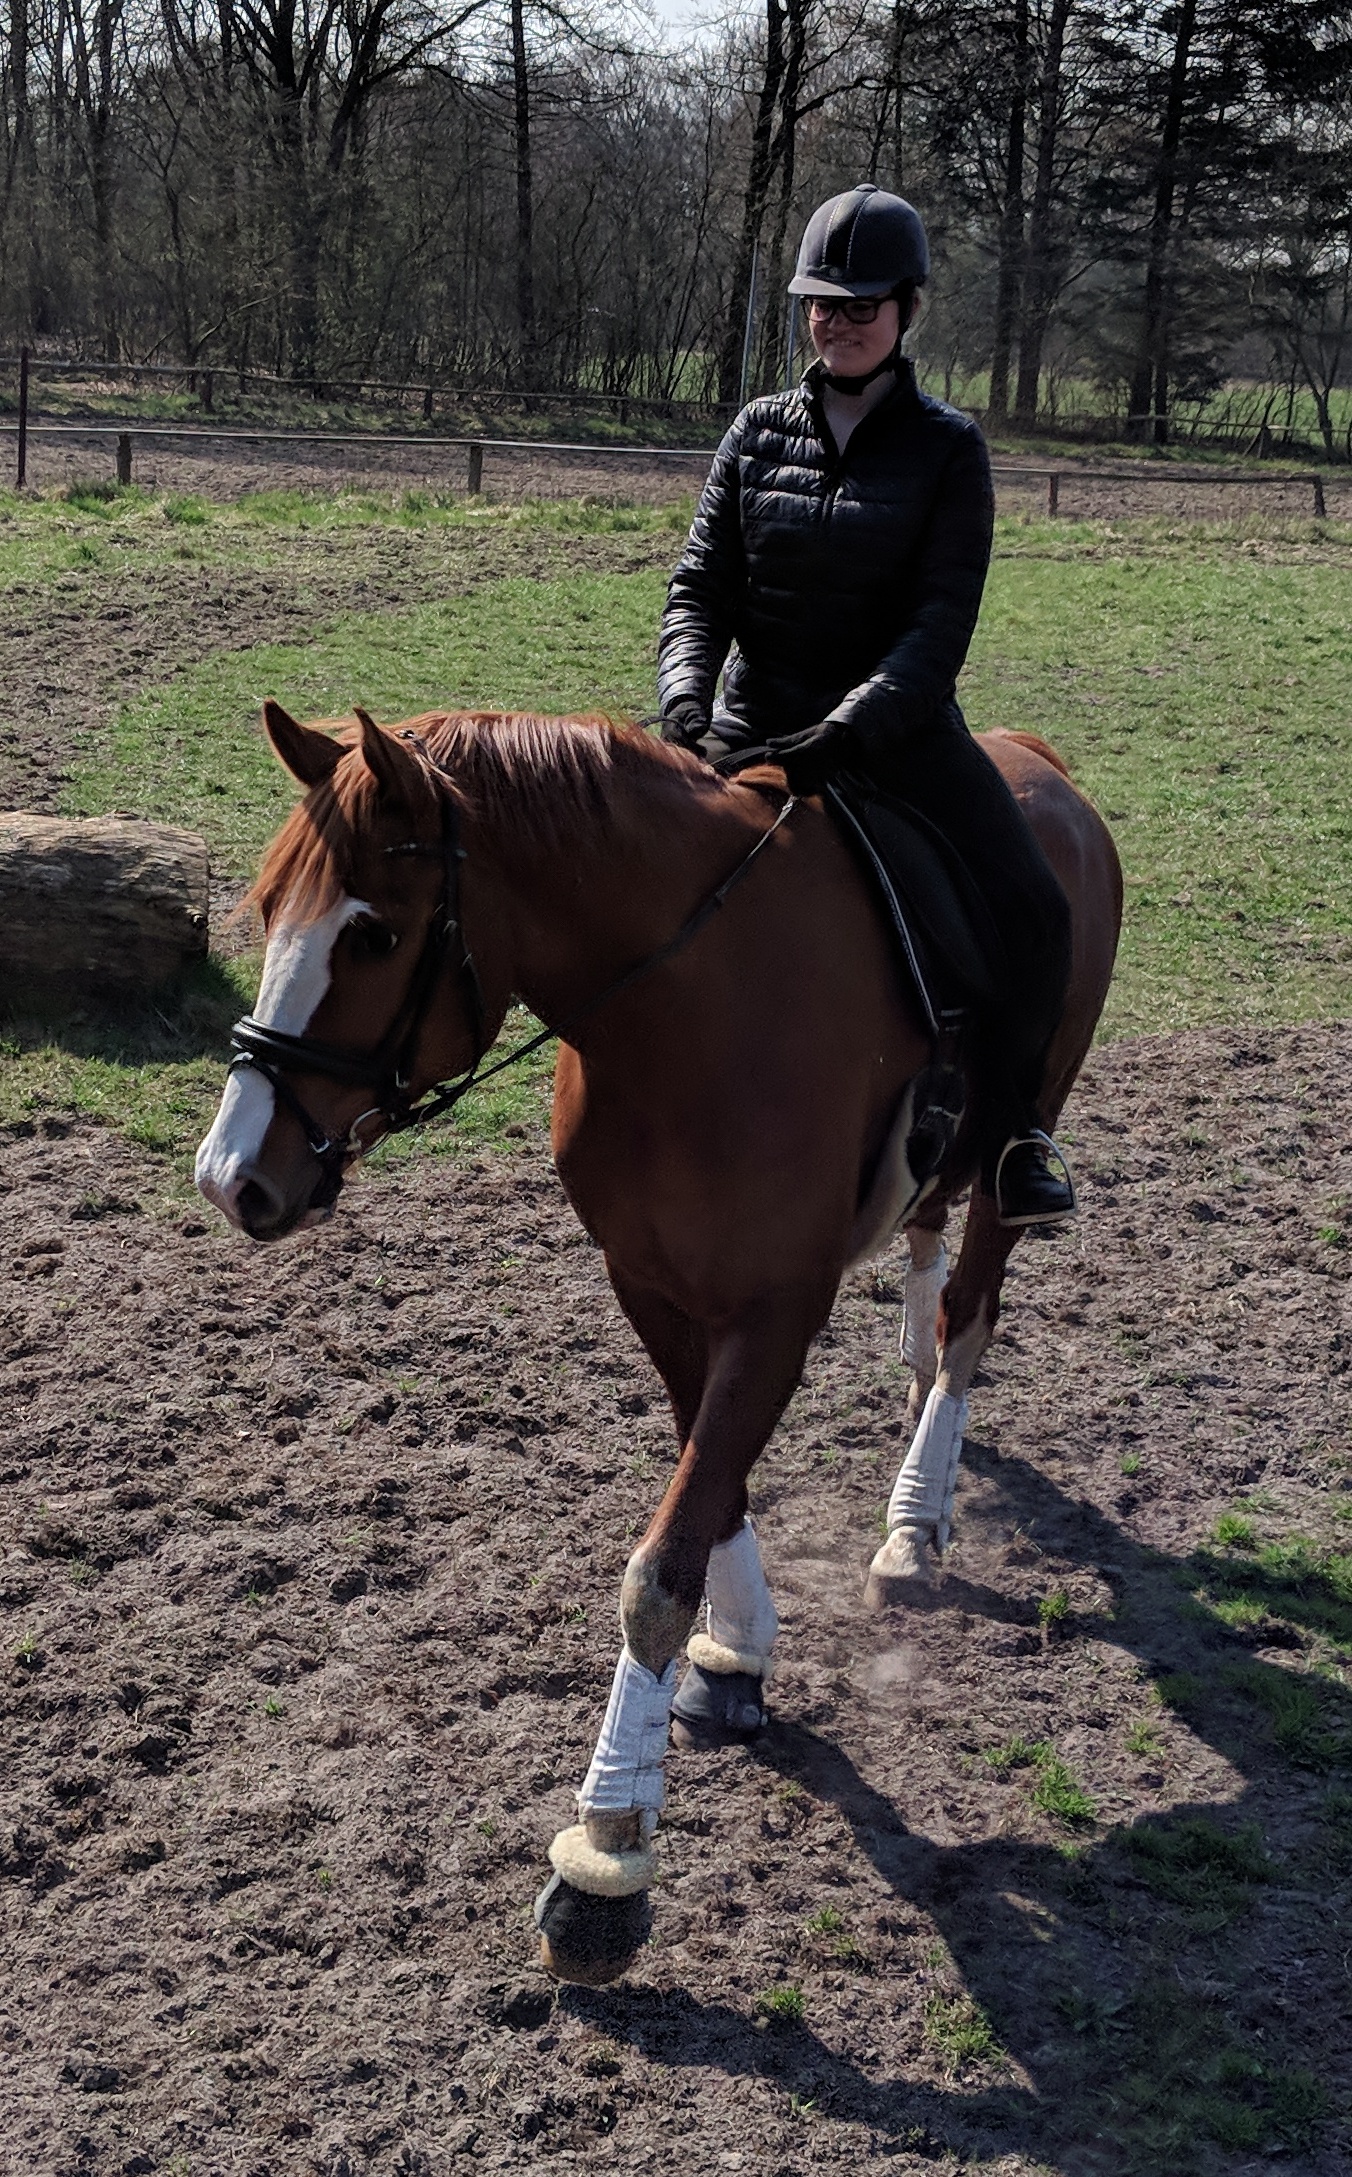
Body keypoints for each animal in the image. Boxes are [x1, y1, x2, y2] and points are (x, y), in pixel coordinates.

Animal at [195, 699, 1122, 1986]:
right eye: (270, 907)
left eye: (373, 933)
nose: (232, 1175)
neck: (686, 1010)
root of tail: (1036, 763)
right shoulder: (647, 1284)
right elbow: (708, 1479)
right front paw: (736, 1654)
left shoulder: (775, 1307)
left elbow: (658, 1562)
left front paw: (604, 1855)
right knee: (927, 1248)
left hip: (1016, 1143)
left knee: (971, 1312)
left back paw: (914, 1518)